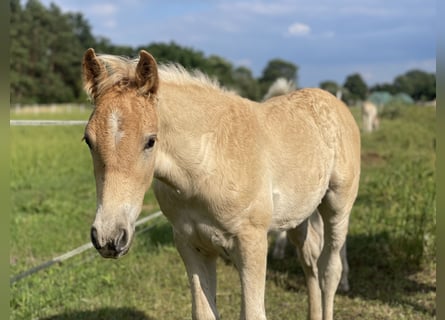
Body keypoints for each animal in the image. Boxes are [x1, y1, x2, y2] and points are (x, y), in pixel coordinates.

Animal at [81, 48, 360, 320]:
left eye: (150, 141)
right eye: (88, 140)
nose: (109, 237)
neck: (206, 167)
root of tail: (333, 101)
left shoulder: (252, 243)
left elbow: (253, 313)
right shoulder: (191, 244)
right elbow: (203, 312)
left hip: (337, 206)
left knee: (329, 269)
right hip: (298, 216)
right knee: (309, 259)